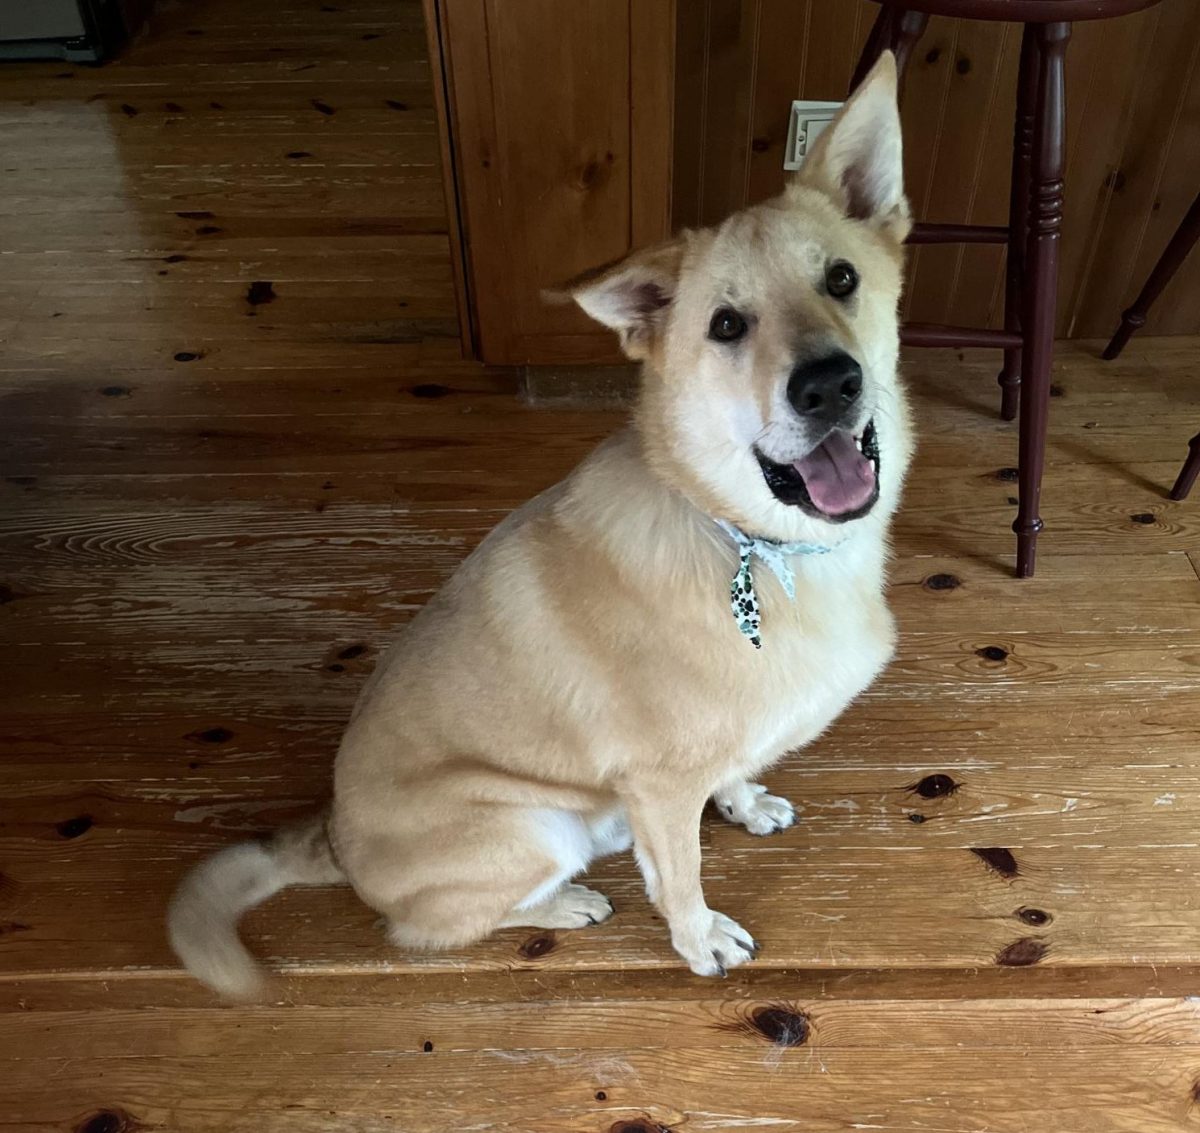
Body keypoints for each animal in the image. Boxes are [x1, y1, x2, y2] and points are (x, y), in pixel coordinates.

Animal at [169, 53, 912, 993]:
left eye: (841, 278)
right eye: (726, 325)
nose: (828, 385)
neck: (752, 541)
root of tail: (330, 839)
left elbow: (734, 770)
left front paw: (745, 800)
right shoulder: (660, 785)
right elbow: (681, 875)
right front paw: (698, 937)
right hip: (532, 825)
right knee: (424, 930)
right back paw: (566, 903)